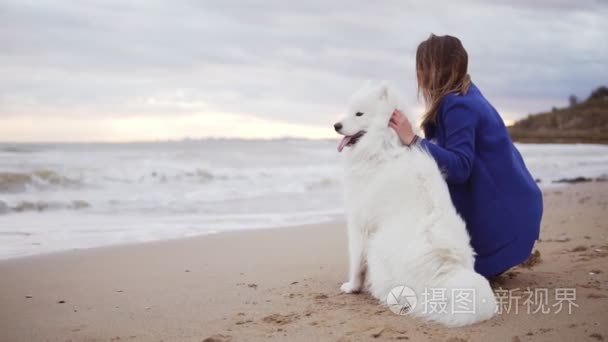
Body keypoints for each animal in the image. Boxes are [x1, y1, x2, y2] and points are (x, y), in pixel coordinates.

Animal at [334, 82, 496, 326]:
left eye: (359, 114)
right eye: (348, 111)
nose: (336, 125)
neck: (382, 146)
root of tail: (445, 273)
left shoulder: (359, 224)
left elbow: (356, 262)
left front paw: (352, 286)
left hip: (377, 245)